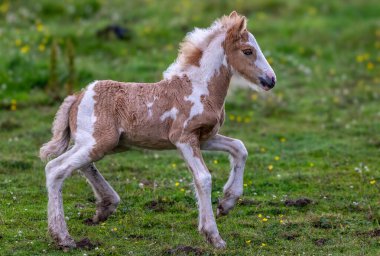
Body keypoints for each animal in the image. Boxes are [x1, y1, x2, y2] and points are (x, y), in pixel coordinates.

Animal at [39, 11, 276, 249]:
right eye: (248, 51)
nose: (271, 80)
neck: (199, 88)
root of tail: (76, 97)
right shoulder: (183, 138)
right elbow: (203, 178)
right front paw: (214, 236)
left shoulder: (205, 137)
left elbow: (239, 148)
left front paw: (226, 203)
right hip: (98, 142)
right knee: (56, 169)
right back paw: (63, 237)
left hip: (103, 144)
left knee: (78, 166)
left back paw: (105, 207)